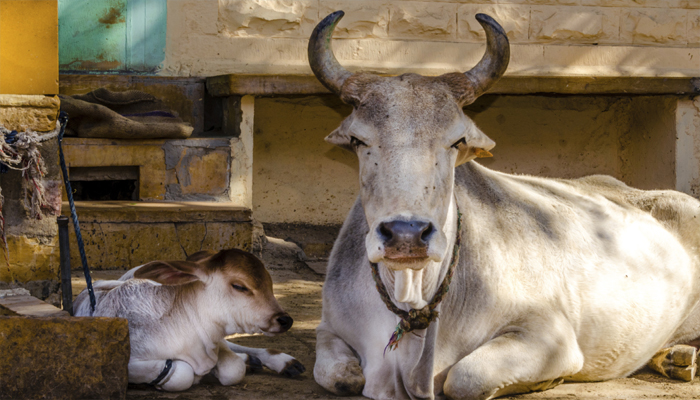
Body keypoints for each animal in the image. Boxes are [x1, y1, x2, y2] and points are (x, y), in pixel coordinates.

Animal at [73, 248, 304, 392]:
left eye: (270, 283)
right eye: (239, 286)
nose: (284, 319)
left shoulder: (214, 340)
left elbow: (233, 368)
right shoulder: (124, 363)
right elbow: (181, 373)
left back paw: (281, 361)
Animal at [308, 10, 700, 400]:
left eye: (457, 140)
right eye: (358, 140)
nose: (407, 234)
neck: (411, 296)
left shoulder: (549, 335)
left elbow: (465, 378)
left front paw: (548, 381)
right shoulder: (329, 328)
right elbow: (340, 375)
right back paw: (675, 359)